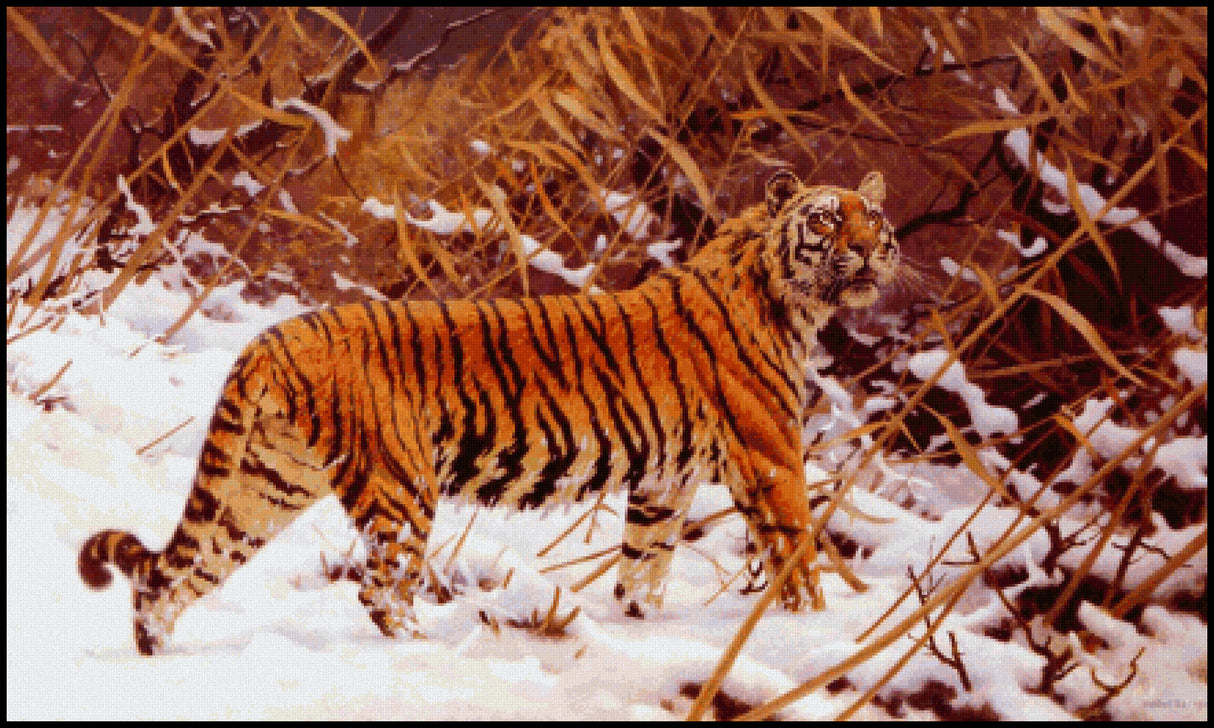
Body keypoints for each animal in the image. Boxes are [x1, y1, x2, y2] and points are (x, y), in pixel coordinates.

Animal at [80, 169, 898, 655]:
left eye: (873, 220)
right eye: (828, 221)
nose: (869, 250)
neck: (794, 300)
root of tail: (275, 335)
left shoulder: (666, 480)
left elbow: (645, 566)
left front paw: (640, 625)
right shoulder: (772, 457)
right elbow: (799, 554)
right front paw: (812, 633)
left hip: (266, 481)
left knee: (178, 574)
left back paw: (155, 656)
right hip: (400, 485)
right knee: (382, 590)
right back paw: (423, 654)